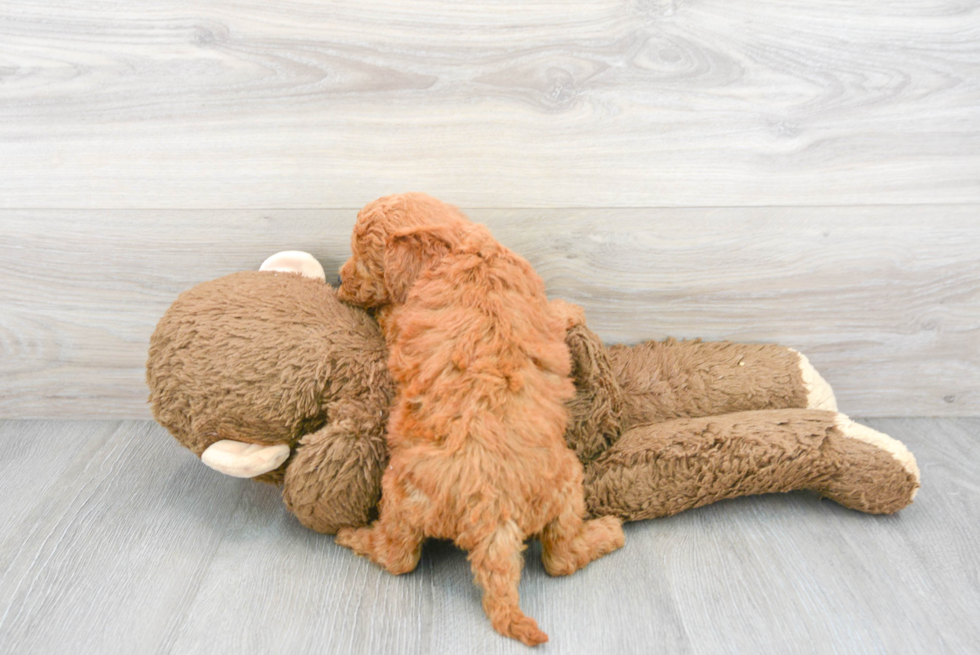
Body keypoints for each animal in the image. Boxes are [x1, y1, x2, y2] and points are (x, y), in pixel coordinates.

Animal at [334, 195, 616, 644]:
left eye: (364, 257)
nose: (339, 281)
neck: (458, 248)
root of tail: (492, 515)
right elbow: (555, 315)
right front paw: (571, 308)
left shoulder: (401, 323)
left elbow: (389, 316)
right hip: (565, 484)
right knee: (559, 557)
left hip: (401, 492)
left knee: (398, 557)